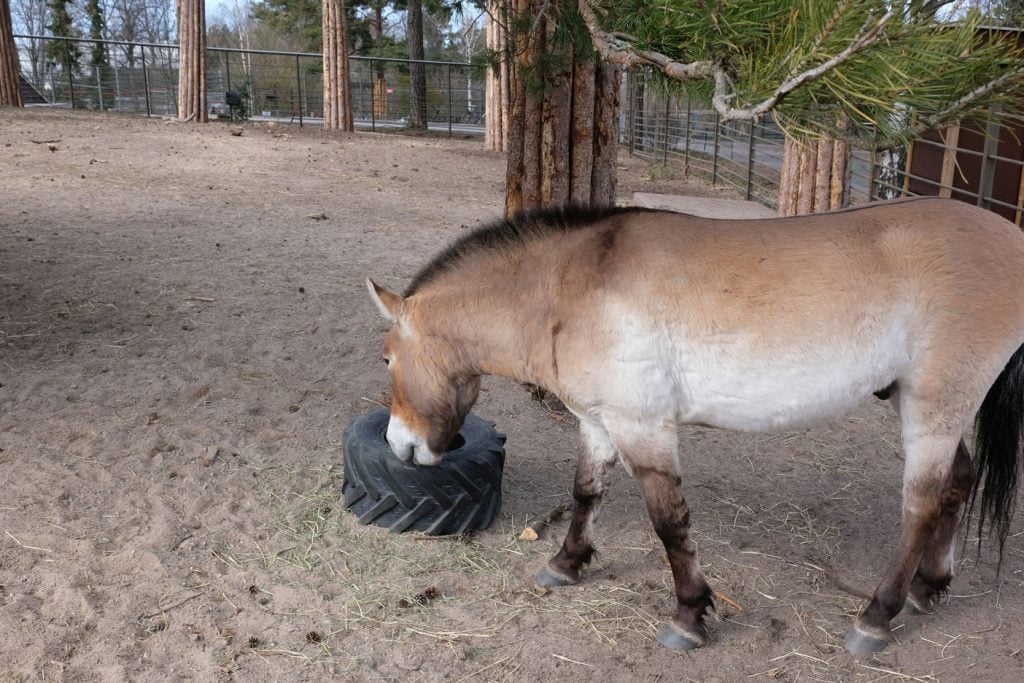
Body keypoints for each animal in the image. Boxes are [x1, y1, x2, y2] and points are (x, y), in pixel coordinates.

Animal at [366, 194, 1024, 655]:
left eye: (387, 359)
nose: (399, 447)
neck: (571, 287)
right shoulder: (600, 424)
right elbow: (585, 493)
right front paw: (566, 564)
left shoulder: (644, 429)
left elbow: (669, 525)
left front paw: (688, 616)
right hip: (921, 404)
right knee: (957, 485)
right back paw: (928, 588)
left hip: (934, 409)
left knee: (922, 505)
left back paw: (876, 617)